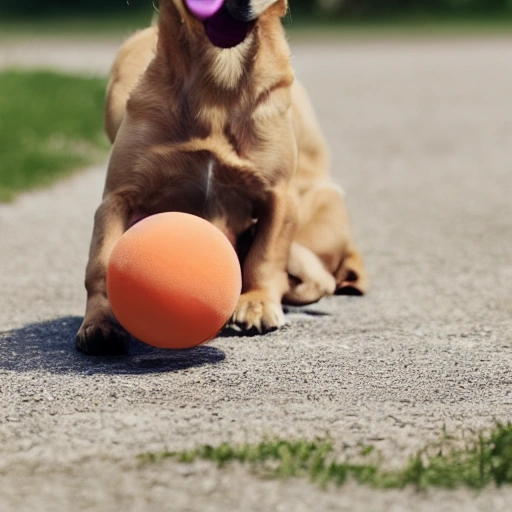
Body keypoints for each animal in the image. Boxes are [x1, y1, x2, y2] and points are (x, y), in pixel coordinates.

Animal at [75, 0, 368, 354]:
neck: (219, 69)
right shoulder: (118, 197)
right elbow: (102, 263)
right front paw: (100, 322)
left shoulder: (280, 197)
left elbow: (265, 255)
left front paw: (256, 304)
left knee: (318, 279)